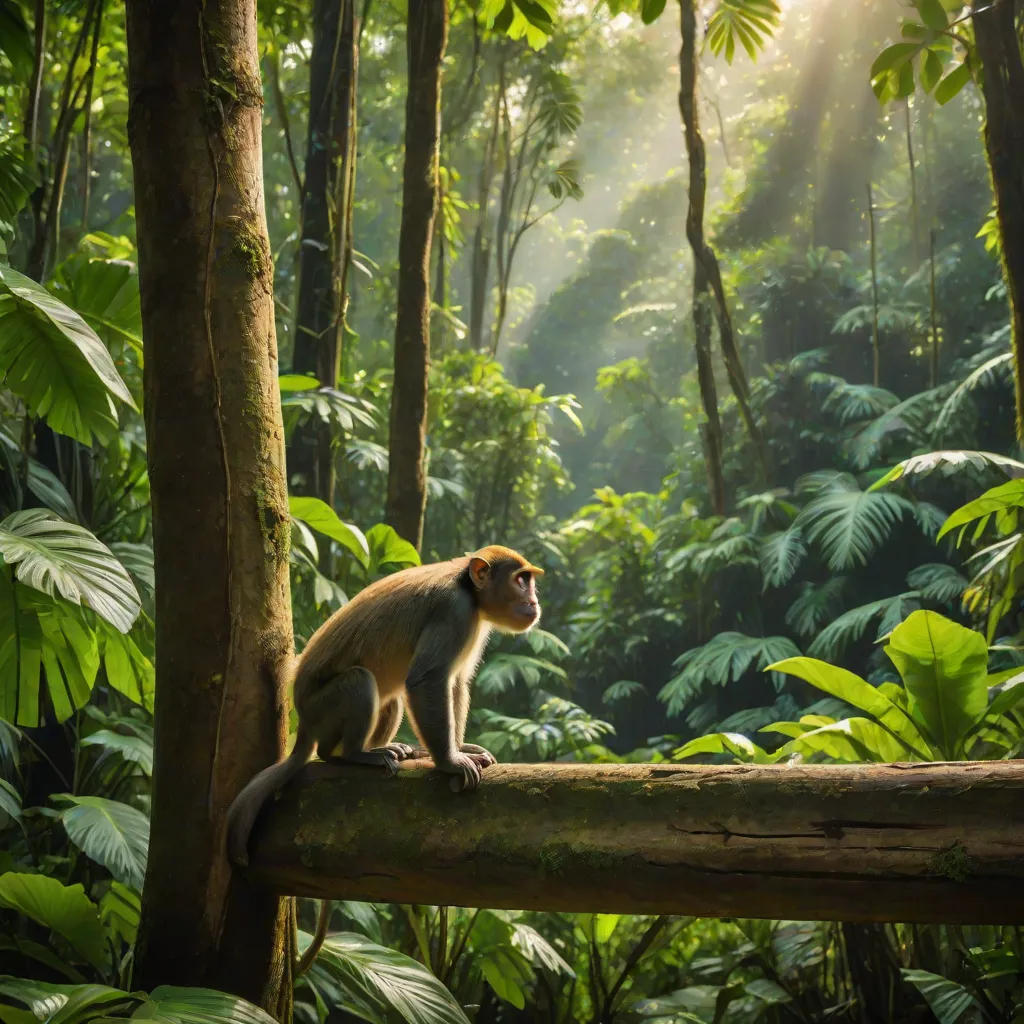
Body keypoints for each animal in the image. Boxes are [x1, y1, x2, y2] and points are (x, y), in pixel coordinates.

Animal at [226, 544, 543, 868]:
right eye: (521, 580)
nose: (534, 600)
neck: (468, 588)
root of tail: (303, 720)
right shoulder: (454, 611)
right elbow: (427, 679)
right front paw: (450, 761)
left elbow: (455, 682)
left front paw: (460, 748)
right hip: (322, 709)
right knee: (359, 683)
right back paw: (354, 754)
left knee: (390, 699)